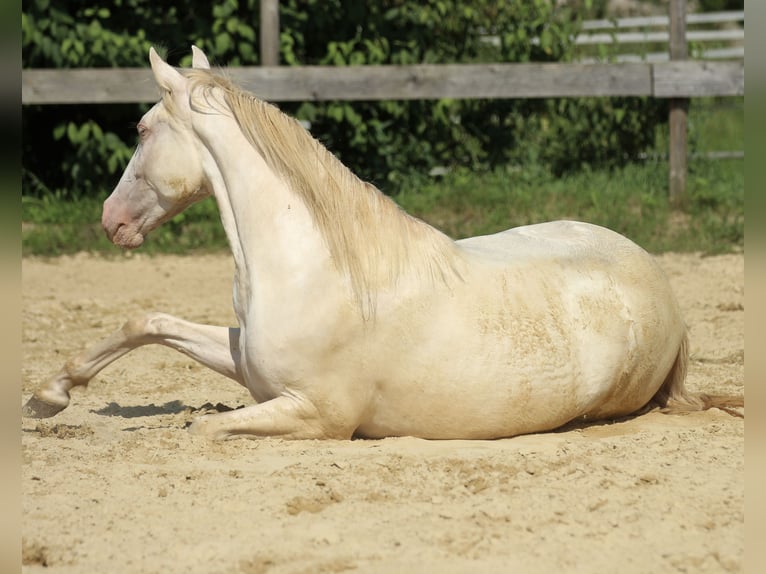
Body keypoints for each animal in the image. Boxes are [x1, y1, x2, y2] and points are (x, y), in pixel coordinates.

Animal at [22, 46, 744, 440]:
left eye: (143, 129)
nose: (111, 221)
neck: (315, 269)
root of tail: (663, 289)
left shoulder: (318, 415)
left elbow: (200, 426)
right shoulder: (246, 362)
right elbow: (148, 321)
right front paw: (48, 396)